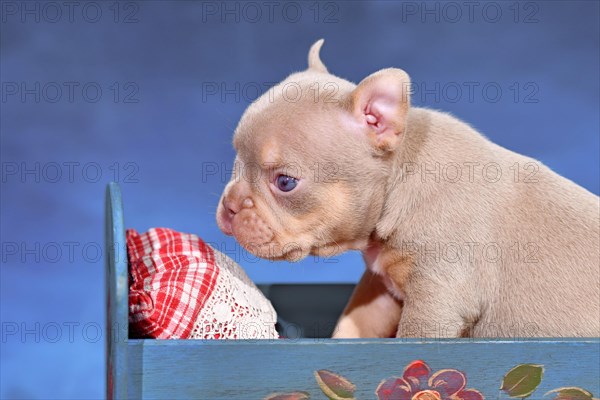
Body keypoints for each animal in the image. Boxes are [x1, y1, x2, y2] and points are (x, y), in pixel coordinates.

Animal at [217, 39, 600, 338]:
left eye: (285, 182)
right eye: (236, 159)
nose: (230, 206)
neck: (399, 179)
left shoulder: (436, 300)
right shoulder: (379, 289)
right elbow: (351, 325)